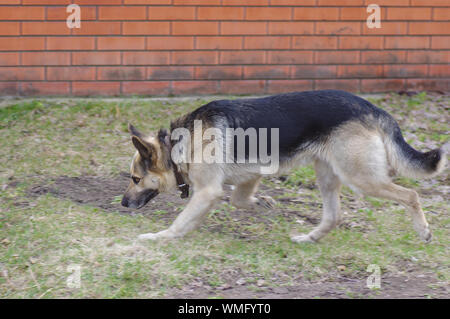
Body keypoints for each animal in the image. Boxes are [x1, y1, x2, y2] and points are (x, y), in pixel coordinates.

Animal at [120, 91, 446, 244]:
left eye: (135, 179)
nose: (122, 204)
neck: (180, 144)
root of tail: (373, 109)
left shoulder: (208, 192)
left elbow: (179, 224)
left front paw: (158, 238)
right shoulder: (250, 176)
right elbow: (239, 200)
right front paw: (263, 203)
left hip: (361, 178)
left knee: (411, 196)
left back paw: (424, 231)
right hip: (327, 176)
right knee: (334, 216)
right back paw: (309, 238)